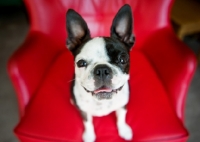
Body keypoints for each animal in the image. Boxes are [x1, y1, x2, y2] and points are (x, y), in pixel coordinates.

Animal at [66, 4, 135, 142]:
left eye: (122, 59)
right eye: (81, 63)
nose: (102, 70)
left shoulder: (123, 105)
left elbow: (121, 118)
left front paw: (124, 130)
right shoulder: (84, 111)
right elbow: (87, 123)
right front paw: (89, 136)